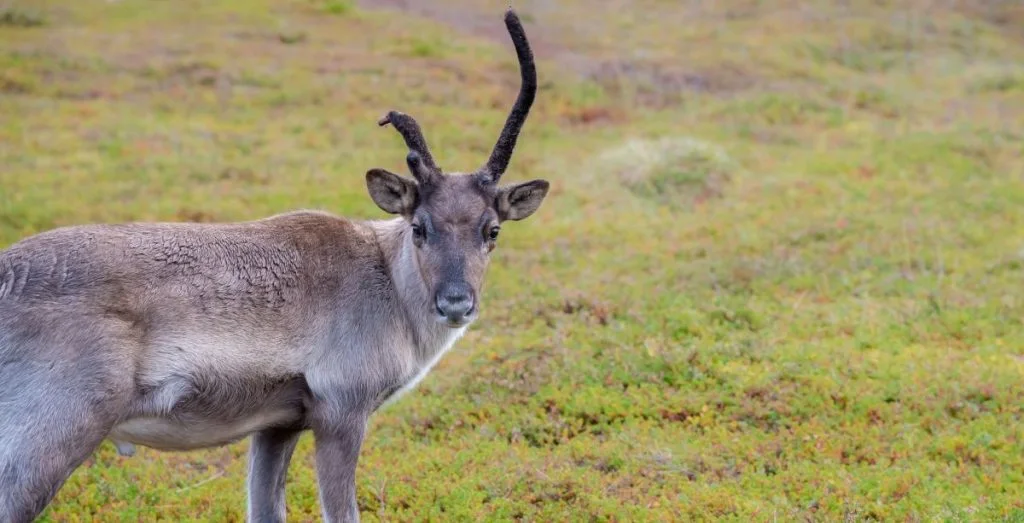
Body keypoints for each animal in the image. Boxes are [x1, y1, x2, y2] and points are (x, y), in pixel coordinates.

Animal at [0, 9, 546, 523]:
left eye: (492, 230)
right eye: (419, 227)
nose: (455, 303)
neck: (388, 281)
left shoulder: (278, 424)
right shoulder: (341, 412)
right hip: (47, 437)